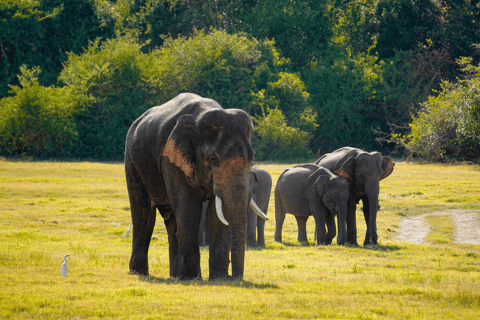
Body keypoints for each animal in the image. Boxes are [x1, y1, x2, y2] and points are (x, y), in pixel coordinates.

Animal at [124, 92, 266, 280]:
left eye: (252, 158)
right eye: (213, 158)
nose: (235, 278)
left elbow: (216, 213)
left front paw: (218, 279)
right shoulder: (171, 157)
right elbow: (188, 206)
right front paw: (192, 278)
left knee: (171, 220)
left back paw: (175, 275)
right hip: (132, 161)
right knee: (143, 213)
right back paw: (139, 272)